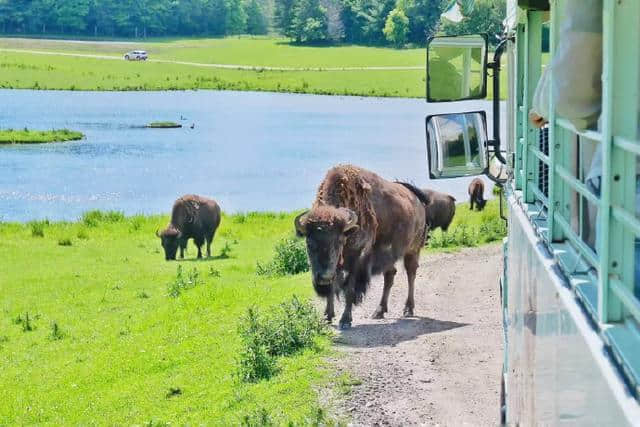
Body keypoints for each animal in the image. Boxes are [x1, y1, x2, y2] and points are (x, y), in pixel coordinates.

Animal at [296, 166, 430, 330]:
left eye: (339, 241)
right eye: (309, 242)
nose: (324, 277)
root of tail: (416, 198)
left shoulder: (357, 256)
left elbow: (349, 289)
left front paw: (345, 320)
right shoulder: (336, 265)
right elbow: (333, 287)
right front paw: (327, 317)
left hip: (413, 249)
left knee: (411, 274)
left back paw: (408, 309)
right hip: (390, 255)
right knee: (390, 275)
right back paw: (379, 311)